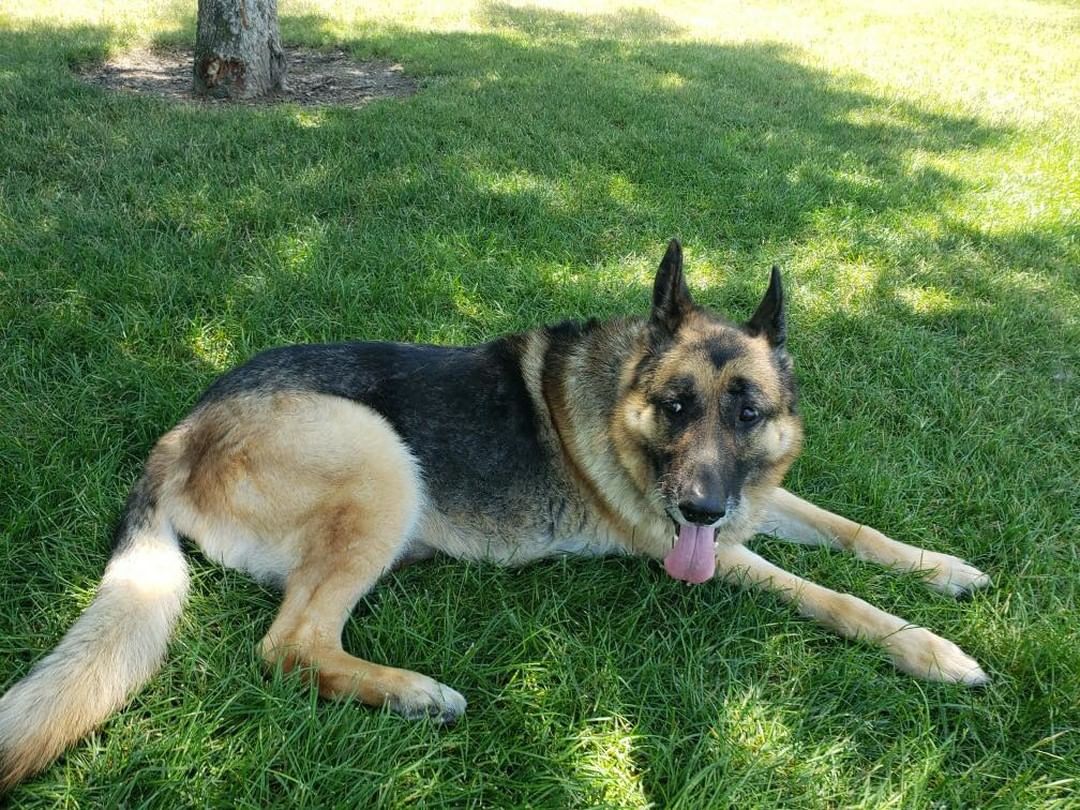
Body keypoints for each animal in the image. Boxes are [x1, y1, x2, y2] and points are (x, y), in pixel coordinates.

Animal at [0, 240, 989, 794]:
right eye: (676, 407)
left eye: (748, 412)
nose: (702, 505)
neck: (619, 397)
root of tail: (179, 434)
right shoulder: (696, 542)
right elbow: (833, 596)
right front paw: (932, 650)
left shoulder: (753, 501)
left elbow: (855, 532)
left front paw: (945, 568)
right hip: (381, 461)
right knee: (288, 645)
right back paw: (413, 693)